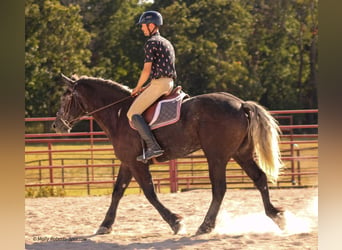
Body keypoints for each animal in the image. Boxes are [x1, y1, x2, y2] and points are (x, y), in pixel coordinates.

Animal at [51, 73, 286, 234]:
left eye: (64, 99)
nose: (56, 126)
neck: (118, 114)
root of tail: (240, 104)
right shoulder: (127, 162)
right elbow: (117, 191)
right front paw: (105, 225)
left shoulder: (137, 163)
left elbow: (150, 193)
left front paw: (176, 222)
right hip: (241, 154)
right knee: (259, 179)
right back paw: (276, 216)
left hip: (216, 157)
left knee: (219, 189)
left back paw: (205, 226)